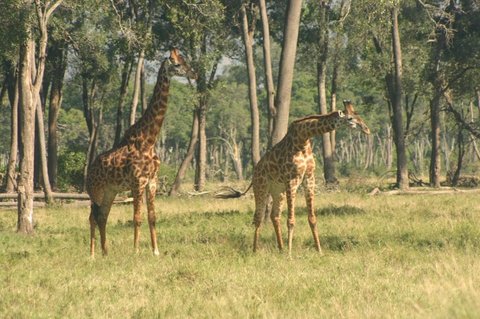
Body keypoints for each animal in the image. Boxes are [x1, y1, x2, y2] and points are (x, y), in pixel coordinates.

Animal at [86, 48, 195, 258]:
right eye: (177, 64)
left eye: (186, 60)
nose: (194, 74)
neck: (149, 140)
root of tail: (88, 170)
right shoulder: (138, 182)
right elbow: (136, 217)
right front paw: (136, 251)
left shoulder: (152, 181)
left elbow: (152, 216)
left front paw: (156, 251)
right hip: (96, 191)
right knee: (92, 216)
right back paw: (93, 254)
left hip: (110, 191)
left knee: (102, 216)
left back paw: (105, 252)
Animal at [217, 101, 372, 256]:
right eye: (350, 119)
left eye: (358, 115)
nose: (367, 130)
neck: (303, 138)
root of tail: (254, 173)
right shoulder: (292, 180)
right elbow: (291, 220)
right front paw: (290, 254)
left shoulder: (309, 178)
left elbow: (312, 218)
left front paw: (319, 251)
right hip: (261, 187)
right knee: (258, 217)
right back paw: (256, 250)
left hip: (278, 191)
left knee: (275, 215)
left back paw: (280, 248)